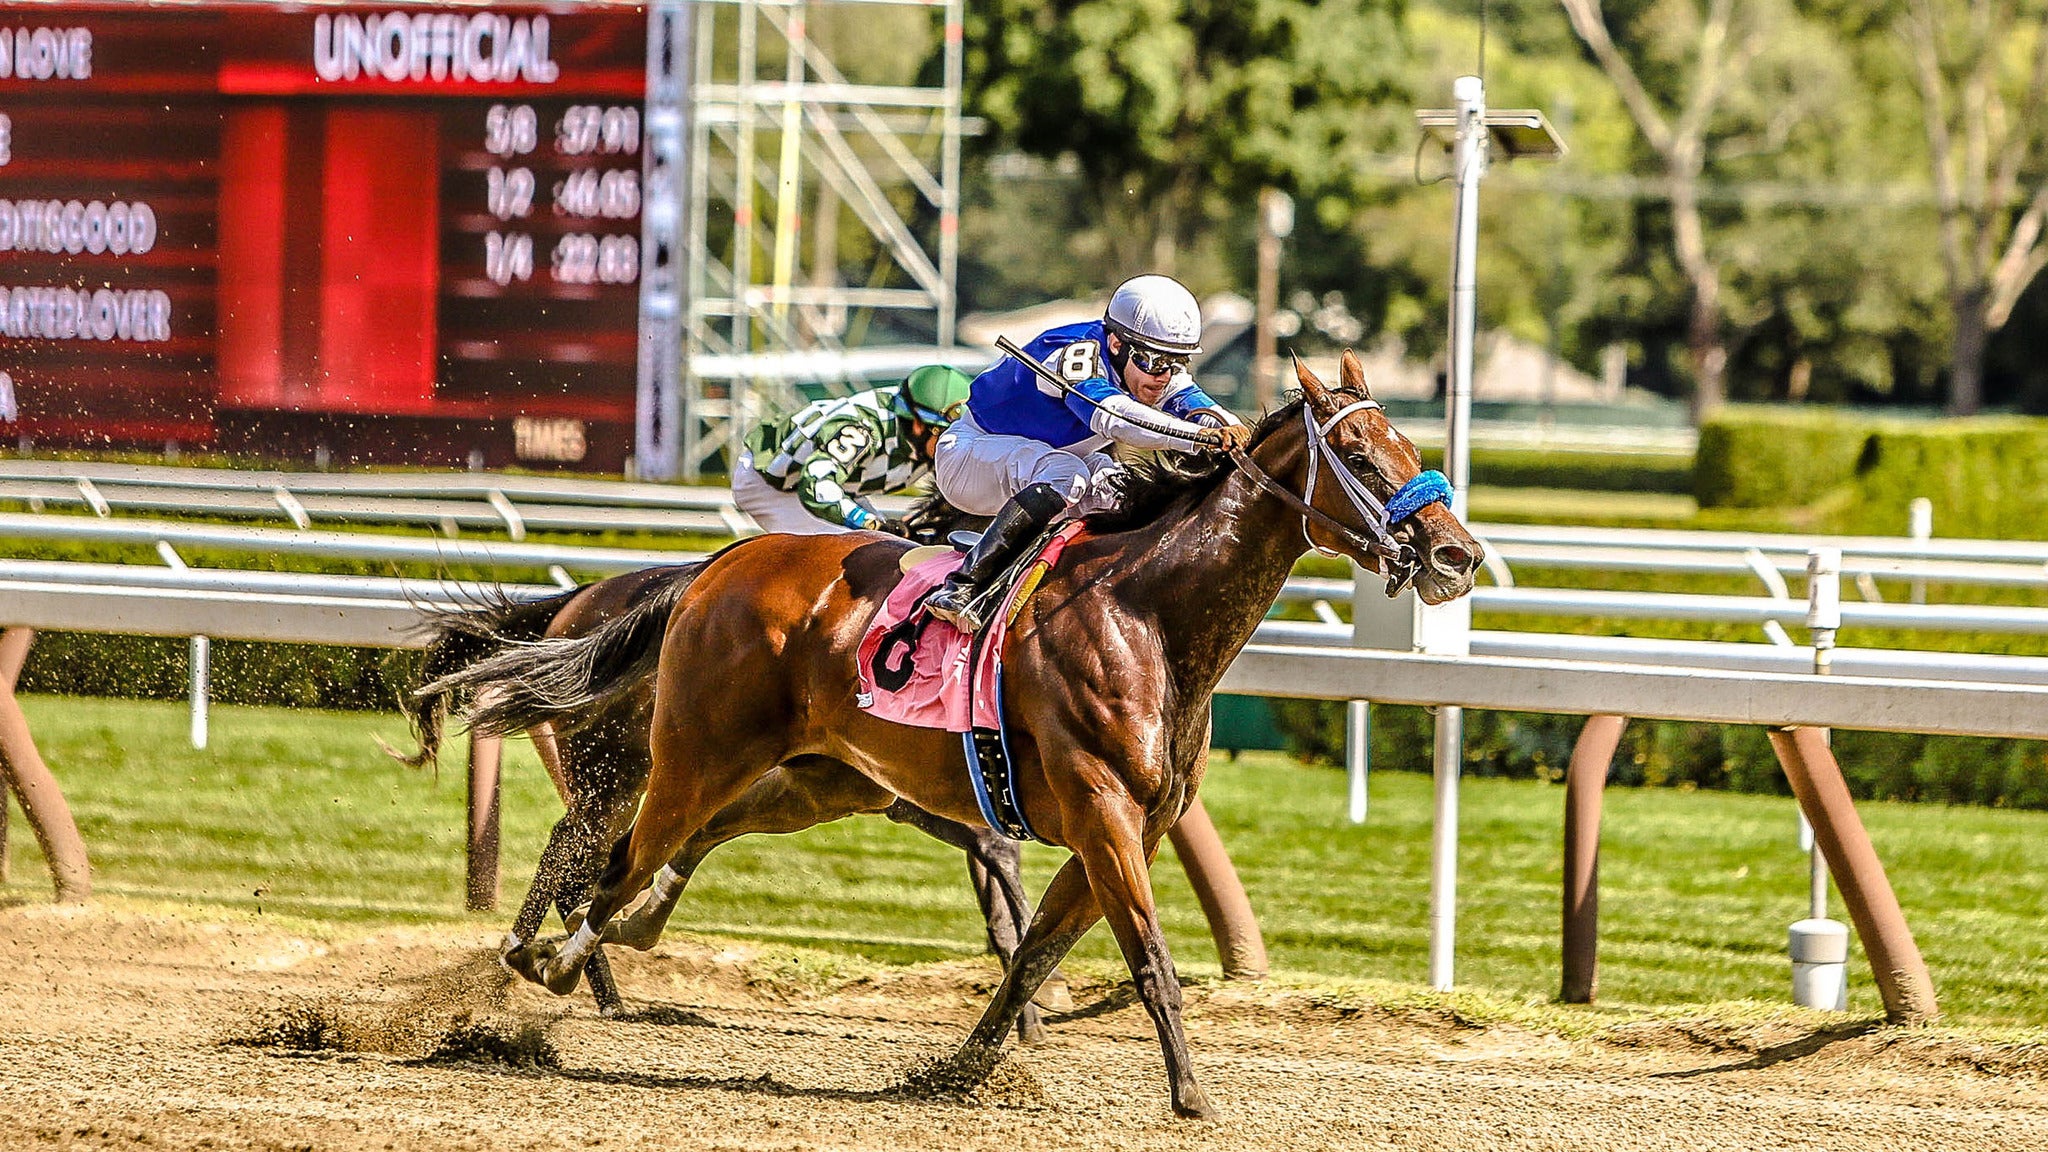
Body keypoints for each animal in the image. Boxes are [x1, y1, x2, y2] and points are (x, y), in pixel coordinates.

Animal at [468, 354, 1490, 1115]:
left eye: (1409, 441)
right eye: (1357, 450)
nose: (1458, 553)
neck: (1145, 615)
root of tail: (714, 567)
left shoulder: (1122, 829)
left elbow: (1033, 954)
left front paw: (960, 1071)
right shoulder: (1104, 815)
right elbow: (1148, 959)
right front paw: (1192, 1096)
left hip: (815, 778)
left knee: (669, 849)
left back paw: (606, 940)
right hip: (696, 753)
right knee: (612, 854)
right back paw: (546, 964)